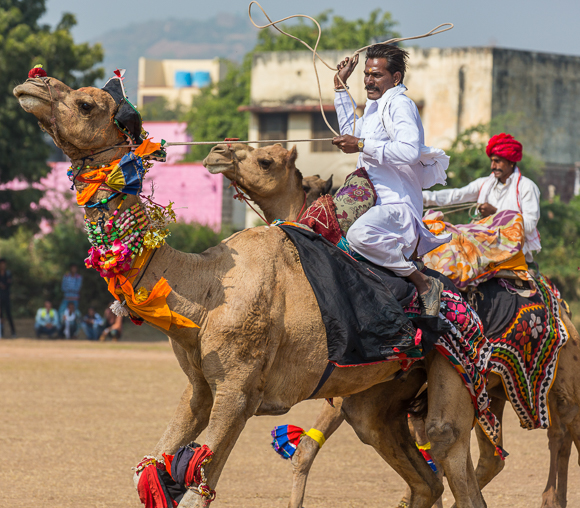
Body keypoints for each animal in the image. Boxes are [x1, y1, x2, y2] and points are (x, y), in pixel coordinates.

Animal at [14, 75, 498, 508]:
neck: (207, 290)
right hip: (377, 395)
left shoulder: (238, 391)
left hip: (454, 374)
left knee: (453, 459)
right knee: (415, 472)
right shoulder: (200, 390)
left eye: (86, 104)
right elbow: (153, 469)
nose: (33, 84)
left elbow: (196, 492)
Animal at [203, 142, 580, 508]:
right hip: (495, 390)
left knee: (563, 428)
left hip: (557, 377)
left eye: (265, 160)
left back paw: (550, 497)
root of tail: (558, 302)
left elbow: (308, 450)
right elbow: (311, 448)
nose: (217, 153)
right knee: (497, 454)